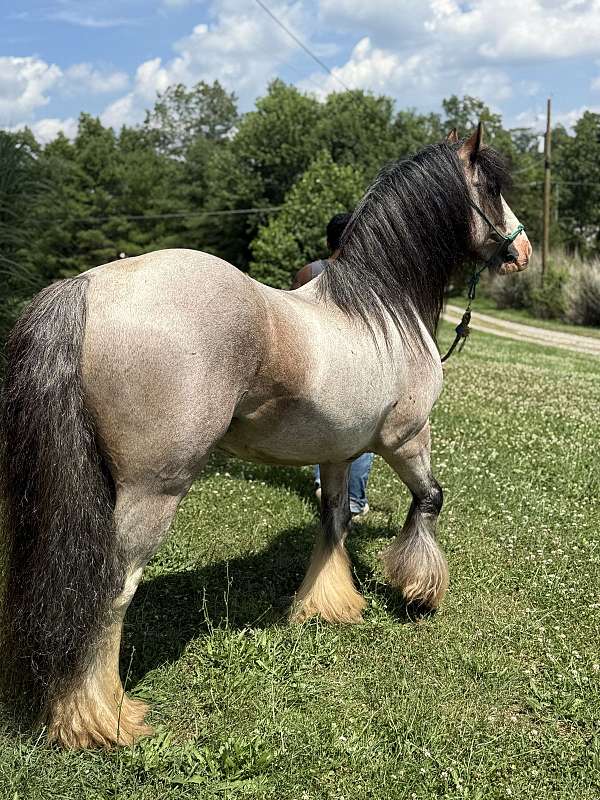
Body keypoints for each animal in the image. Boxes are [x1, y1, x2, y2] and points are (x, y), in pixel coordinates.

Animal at [0, 124, 531, 749]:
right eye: (491, 188)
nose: (523, 251)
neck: (379, 310)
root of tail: (86, 287)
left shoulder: (337, 453)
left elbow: (334, 521)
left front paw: (326, 605)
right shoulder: (406, 440)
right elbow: (429, 500)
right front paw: (418, 590)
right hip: (152, 493)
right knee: (110, 591)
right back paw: (100, 718)